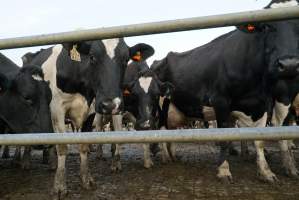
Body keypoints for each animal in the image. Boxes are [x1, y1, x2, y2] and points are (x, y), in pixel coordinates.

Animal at [23, 39, 154, 198]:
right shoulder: (57, 109)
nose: (110, 104)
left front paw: (86, 179)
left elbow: (84, 146)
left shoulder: (91, 111)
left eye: (125, 60)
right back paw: (28, 163)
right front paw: (60, 186)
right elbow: (62, 147)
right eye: (92, 57)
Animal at [154, 0, 299, 184]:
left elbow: (259, 140)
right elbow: (223, 135)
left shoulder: (263, 104)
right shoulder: (220, 100)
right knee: (162, 129)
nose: (289, 64)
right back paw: (166, 157)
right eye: (266, 26)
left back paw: (173, 155)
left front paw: (266, 172)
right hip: (161, 105)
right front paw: (223, 171)